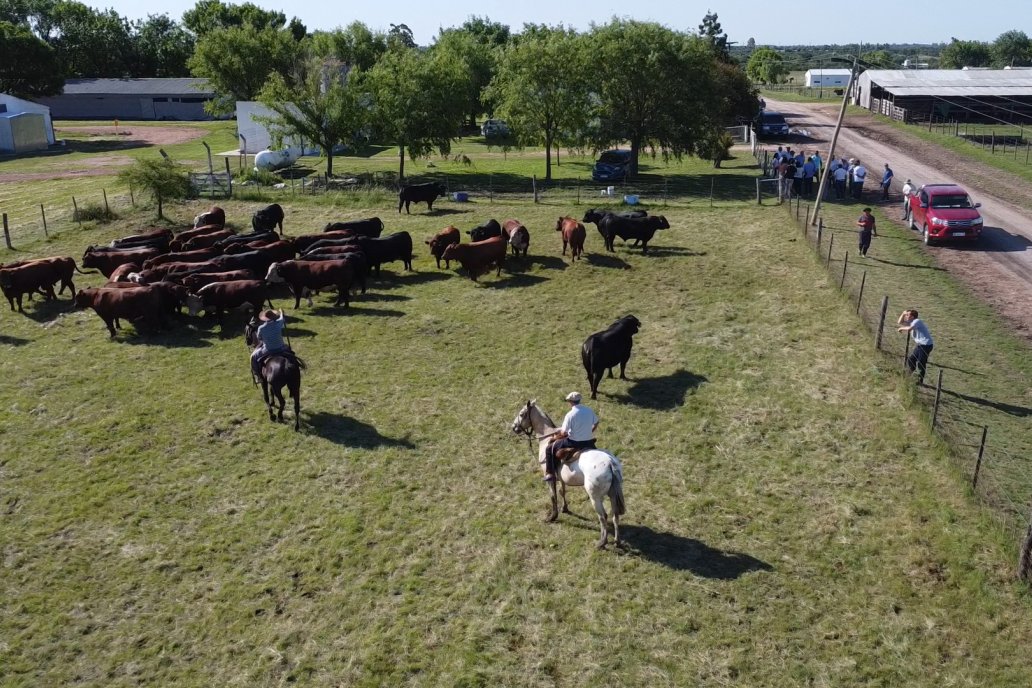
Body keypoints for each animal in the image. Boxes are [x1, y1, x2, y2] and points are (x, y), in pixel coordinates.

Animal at [509, 398, 623, 548]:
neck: (547, 437)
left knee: (603, 516)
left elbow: (553, 496)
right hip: (612, 494)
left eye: (522, 414)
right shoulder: (562, 478)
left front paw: (552, 517)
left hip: (596, 497)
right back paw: (617, 541)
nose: (514, 427)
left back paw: (602, 543)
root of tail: (610, 463)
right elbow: (563, 491)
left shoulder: (550, 478)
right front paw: (565, 508)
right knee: (615, 515)